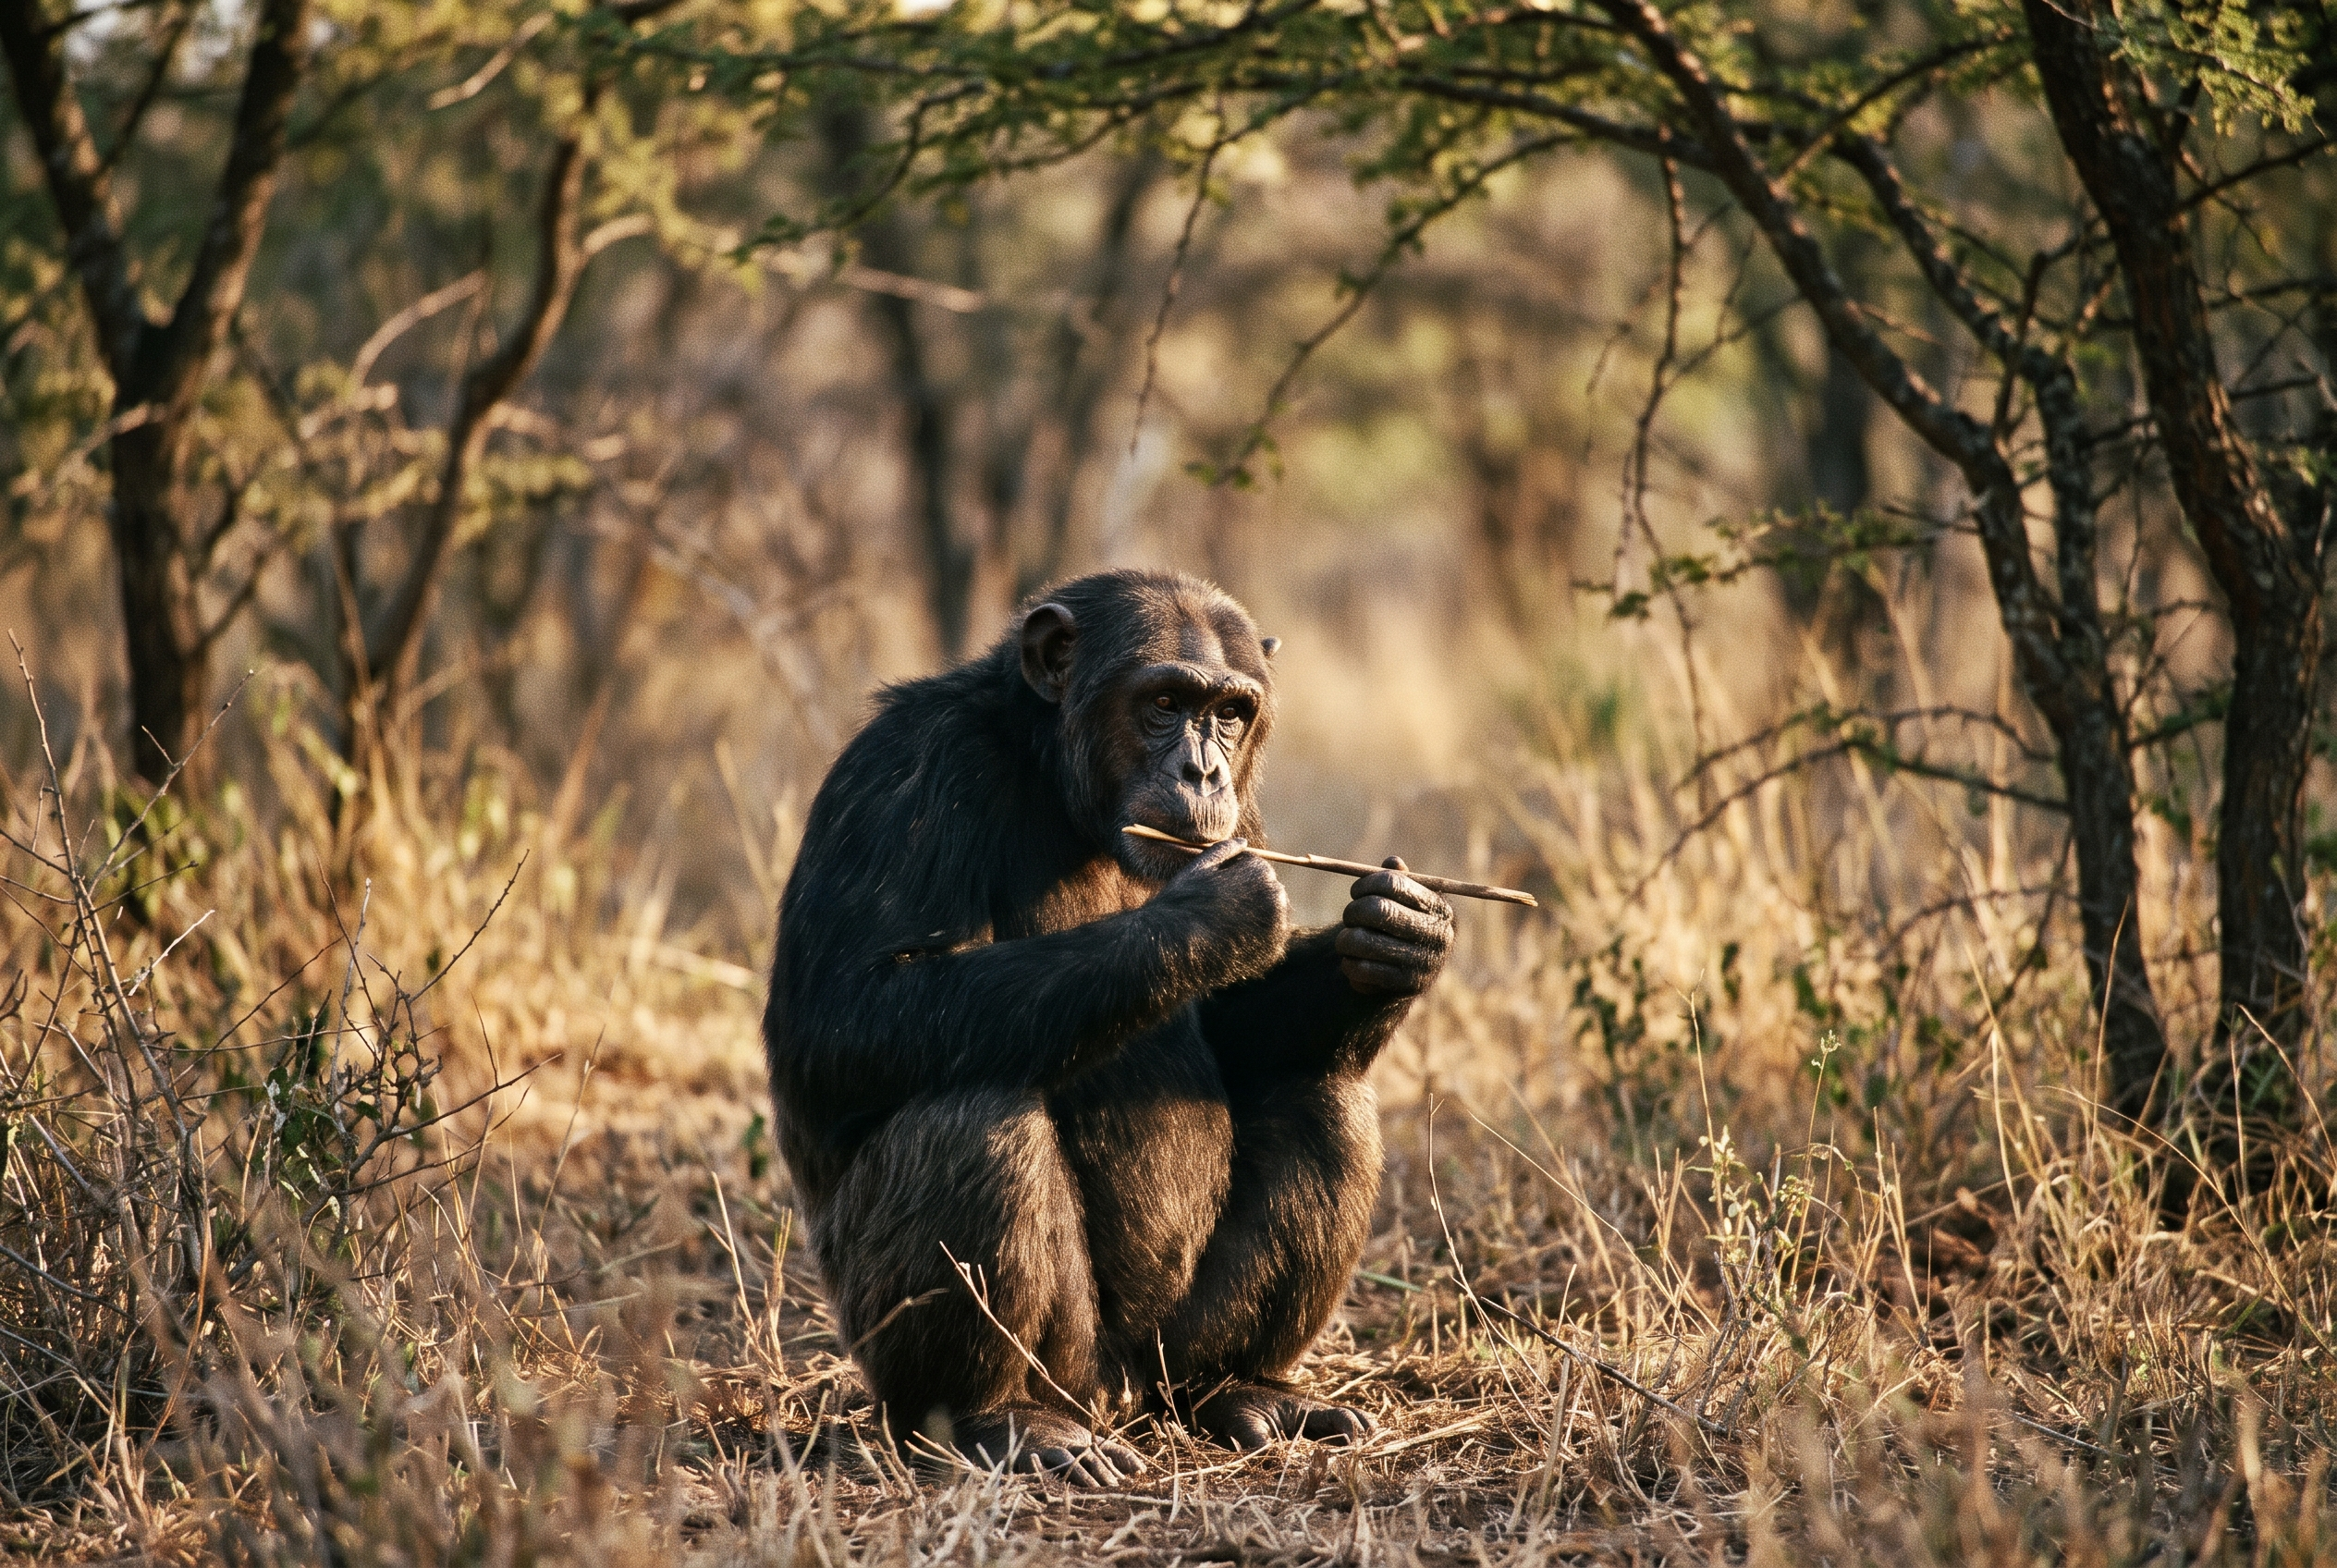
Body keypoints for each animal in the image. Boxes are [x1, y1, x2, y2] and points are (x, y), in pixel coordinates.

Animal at [763, 569, 1452, 1483]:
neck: (1053, 774)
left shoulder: (1246, 820)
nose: (1203, 770)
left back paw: (1246, 1390)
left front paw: (1392, 935)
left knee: (1324, 1096)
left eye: (1230, 714)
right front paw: (1208, 915)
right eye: (1164, 702)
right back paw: (998, 1420)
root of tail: (1125, 1395)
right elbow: (843, 1016)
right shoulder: (901, 770)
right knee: (969, 1117)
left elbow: (1236, 1023)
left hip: (1172, 1352)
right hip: (1045, 1369)